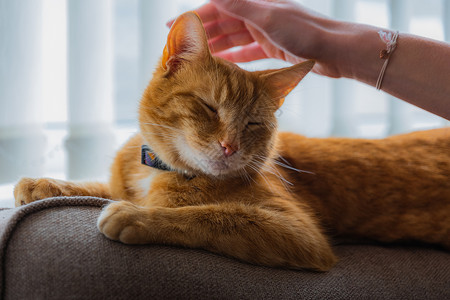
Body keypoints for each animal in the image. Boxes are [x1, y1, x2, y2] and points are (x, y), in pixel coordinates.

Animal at [14, 11, 450, 270]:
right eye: (209, 107)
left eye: (253, 123)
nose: (229, 146)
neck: (159, 171)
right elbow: (98, 186)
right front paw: (45, 183)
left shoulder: (299, 234)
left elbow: (212, 215)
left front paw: (138, 216)